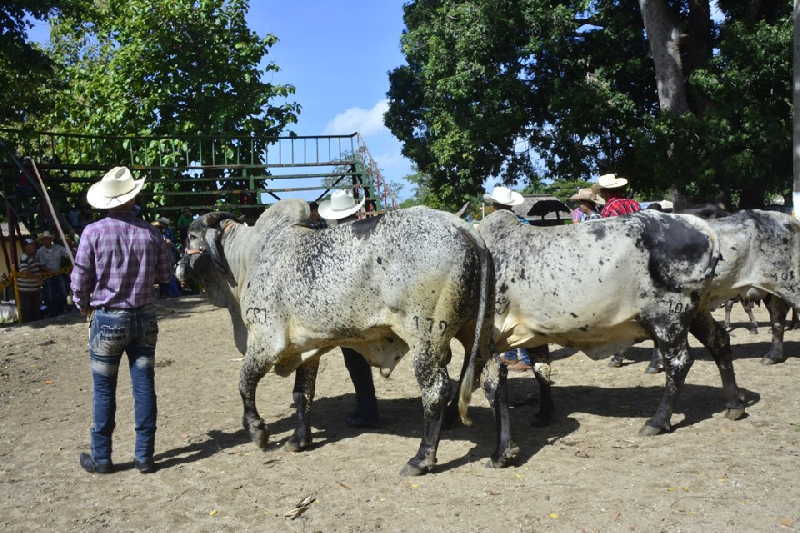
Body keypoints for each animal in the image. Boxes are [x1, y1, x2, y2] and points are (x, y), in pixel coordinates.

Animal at [456, 208, 752, 436]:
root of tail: (702, 228)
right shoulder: (533, 331)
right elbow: (542, 370)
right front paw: (544, 414)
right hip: (697, 311)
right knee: (719, 341)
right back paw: (734, 405)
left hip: (668, 318)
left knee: (679, 362)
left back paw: (657, 421)